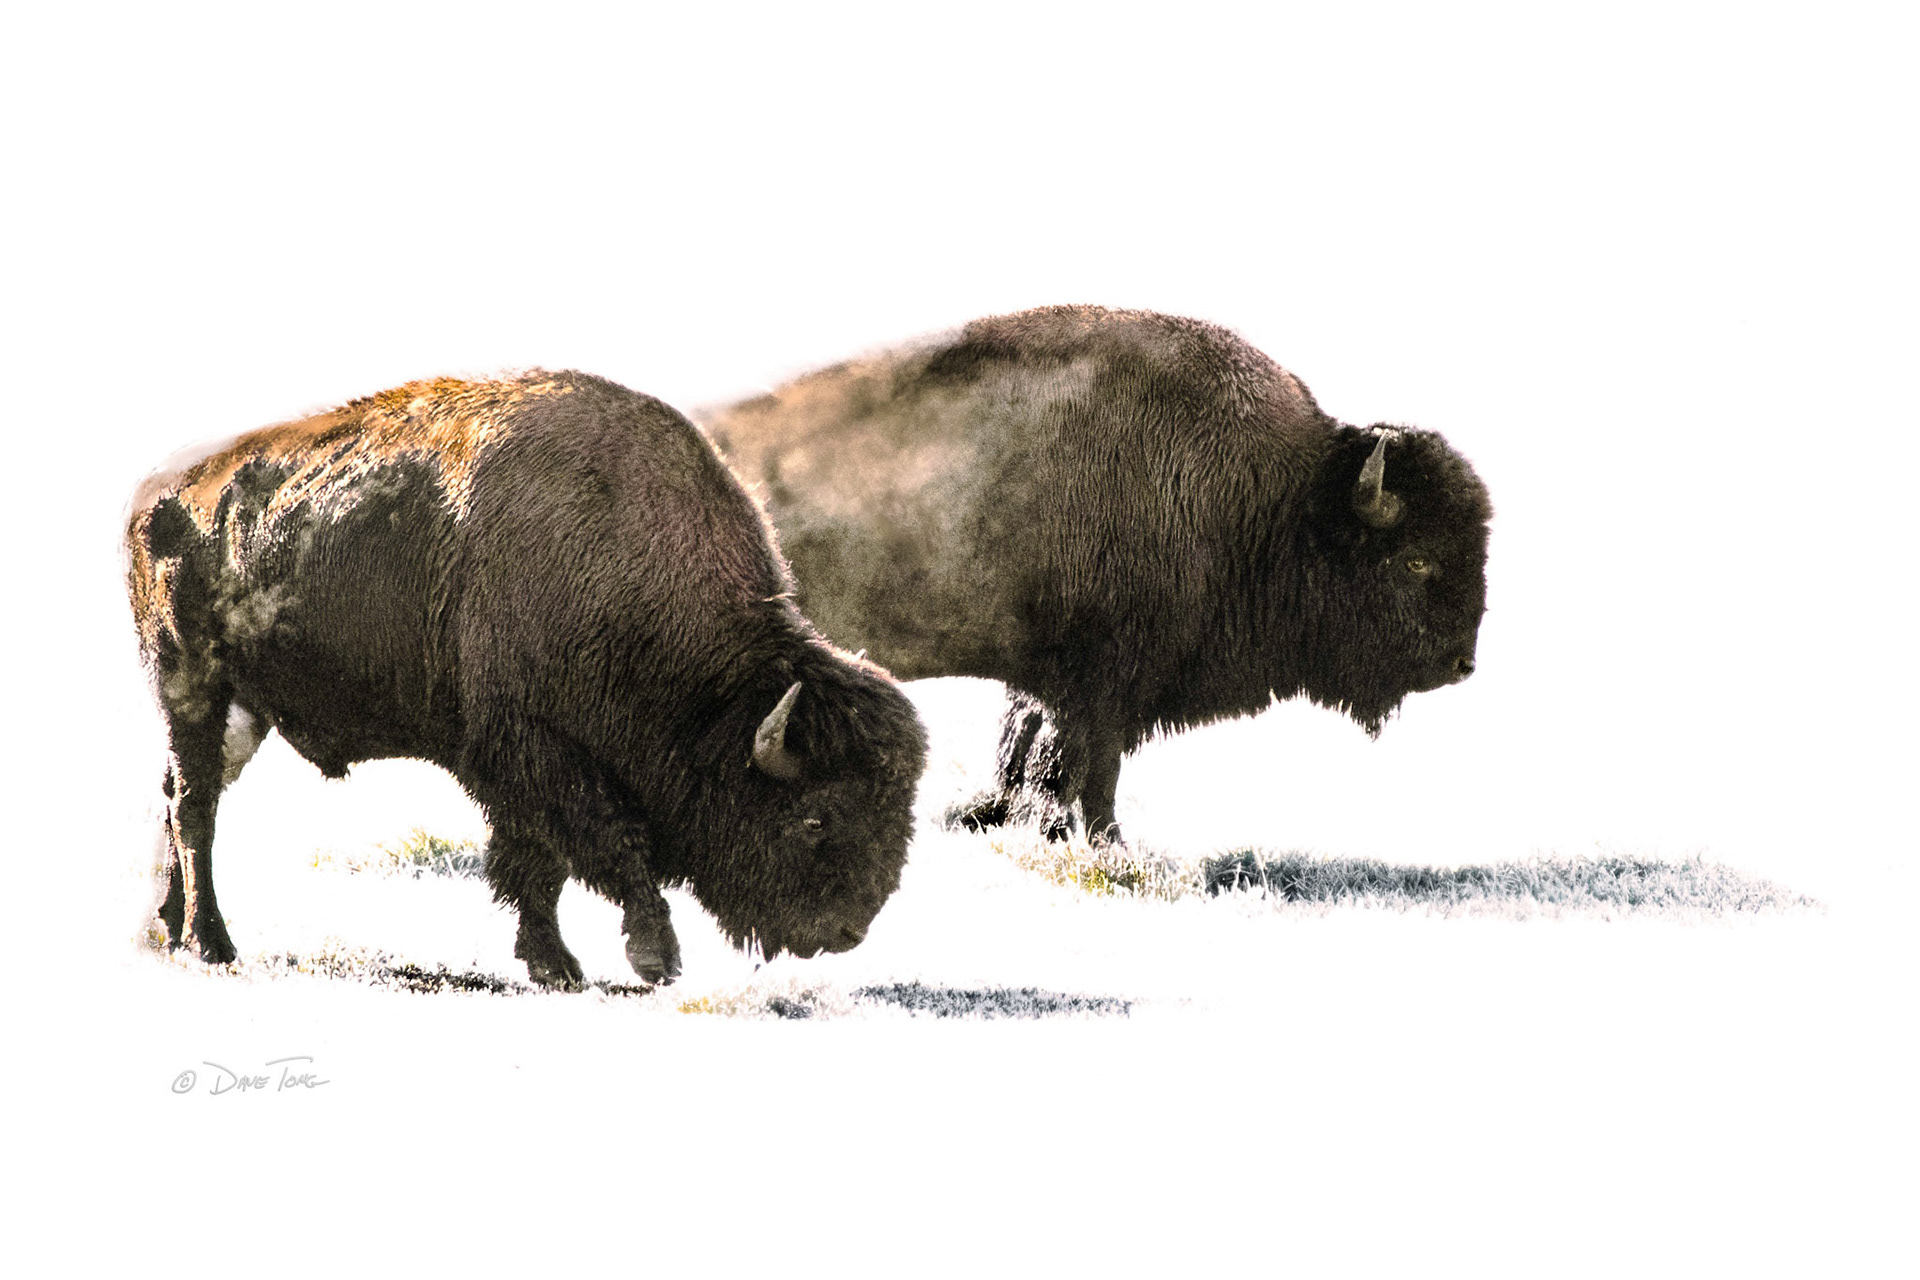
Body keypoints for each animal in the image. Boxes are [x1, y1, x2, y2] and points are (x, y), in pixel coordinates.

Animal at [127, 370, 927, 988]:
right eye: (814, 818)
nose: (843, 931)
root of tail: (157, 493)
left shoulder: (520, 770)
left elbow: (537, 864)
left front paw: (555, 965)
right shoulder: (528, 751)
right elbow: (601, 844)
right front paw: (649, 959)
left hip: (243, 711)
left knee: (176, 797)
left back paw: (169, 927)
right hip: (192, 684)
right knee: (195, 808)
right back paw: (212, 944)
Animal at [698, 306, 1492, 844]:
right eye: (1417, 558)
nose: (1462, 664)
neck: (1278, 500)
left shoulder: (1055, 680)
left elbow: (1030, 746)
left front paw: (1003, 818)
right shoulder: (1107, 681)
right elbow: (1084, 766)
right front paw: (1098, 842)